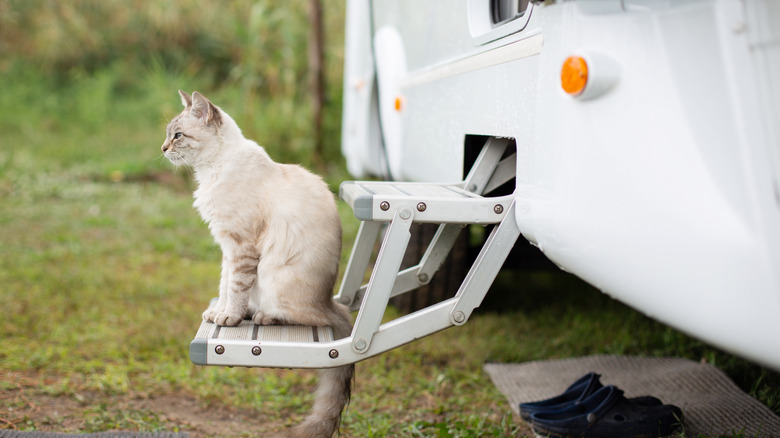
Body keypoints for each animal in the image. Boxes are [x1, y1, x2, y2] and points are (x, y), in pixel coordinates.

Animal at [161, 90, 354, 436]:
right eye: (169, 134)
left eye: (178, 135)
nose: (163, 148)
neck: (210, 171)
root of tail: (330, 301)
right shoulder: (226, 247)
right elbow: (225, 286)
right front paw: (218, 314)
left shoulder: (241, 247)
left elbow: (235, 288)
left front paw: (228, 318)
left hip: (277, 280)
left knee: (307, 318)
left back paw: (265, 317)